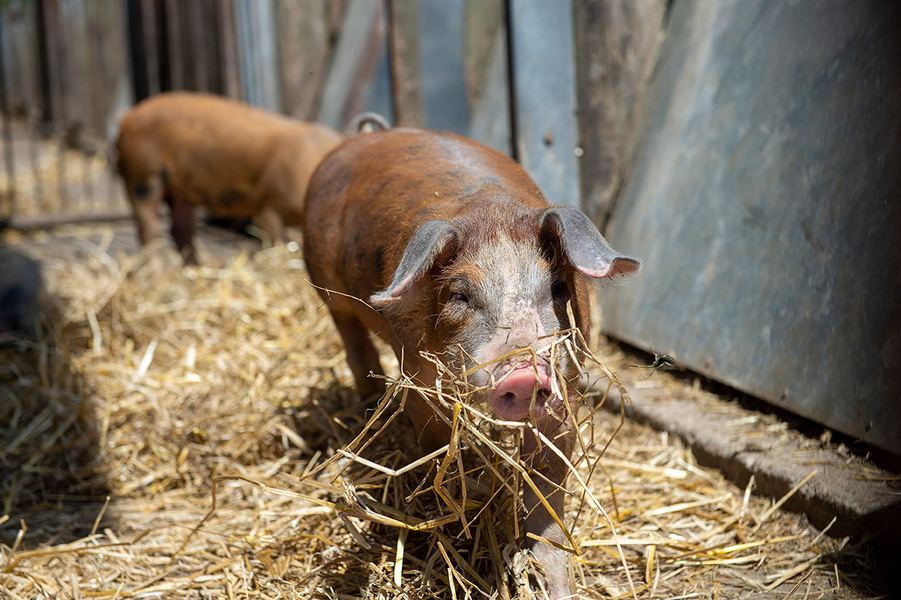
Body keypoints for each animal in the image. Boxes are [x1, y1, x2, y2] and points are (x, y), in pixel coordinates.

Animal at [116, 92, 344, 264]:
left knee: (179, 229)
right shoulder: (268, 206)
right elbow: (274, 241)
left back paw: (195, 267)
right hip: (141, 174)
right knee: (149, 228)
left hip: (178, 189)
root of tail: (126, 119)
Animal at [303, 128, 640, 599]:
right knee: (355, 347)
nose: (524, 372)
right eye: (460, 294)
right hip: (325, 288)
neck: (489, 209)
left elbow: (547, 494)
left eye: (557, 288)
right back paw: (371, 407)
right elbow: (438, 450)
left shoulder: (567, 386)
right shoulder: (418, 376)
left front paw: (554, 583)